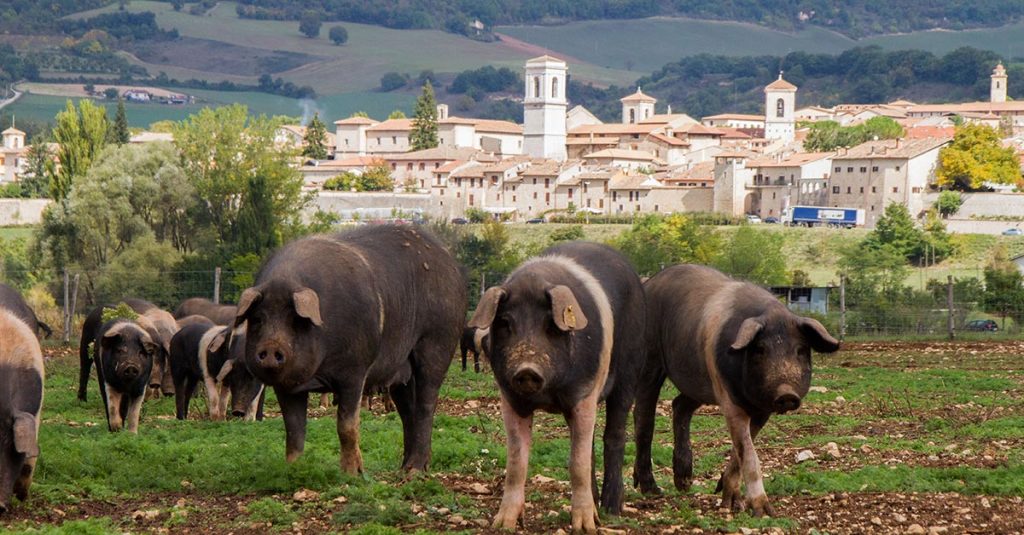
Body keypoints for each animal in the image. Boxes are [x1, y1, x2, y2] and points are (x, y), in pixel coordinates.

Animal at [234, 222, 466, 473]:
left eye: (296, 320)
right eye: (258, 319)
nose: (270, 348)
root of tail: (450, 262)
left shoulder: (355, 370)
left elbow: (347, 425)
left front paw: (353, 474)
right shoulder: (286, 386)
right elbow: (293, 431)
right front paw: (294, 469)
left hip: (438, 341)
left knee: (426, 404)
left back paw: (413, 472)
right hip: (401, 371)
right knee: (407, 412)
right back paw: (404, 468)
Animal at [468, 240, 643, 528]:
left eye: (550, 324)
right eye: (505, 323)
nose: (527, 369)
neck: (549, 394)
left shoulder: (584, 394)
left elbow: (577, 462)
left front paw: (585, 527)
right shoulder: (511, 399)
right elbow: (516, 462)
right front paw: (503, 524)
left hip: (630, 371)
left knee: (614, 435)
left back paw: (611, 509)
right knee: (591, 445)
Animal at [630, 264, 839, 514]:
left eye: (800, 350)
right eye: (760, 349)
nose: (786, 393)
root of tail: (649, 283)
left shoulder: (762, 409)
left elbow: (741, 450)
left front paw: (732, 502)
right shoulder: (730, 400)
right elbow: (748, 452)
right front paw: (764, 512)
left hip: (699, 381)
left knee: (679, 405)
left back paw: (684, 484)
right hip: (651, 360)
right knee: (644, 417)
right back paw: (653, 490)